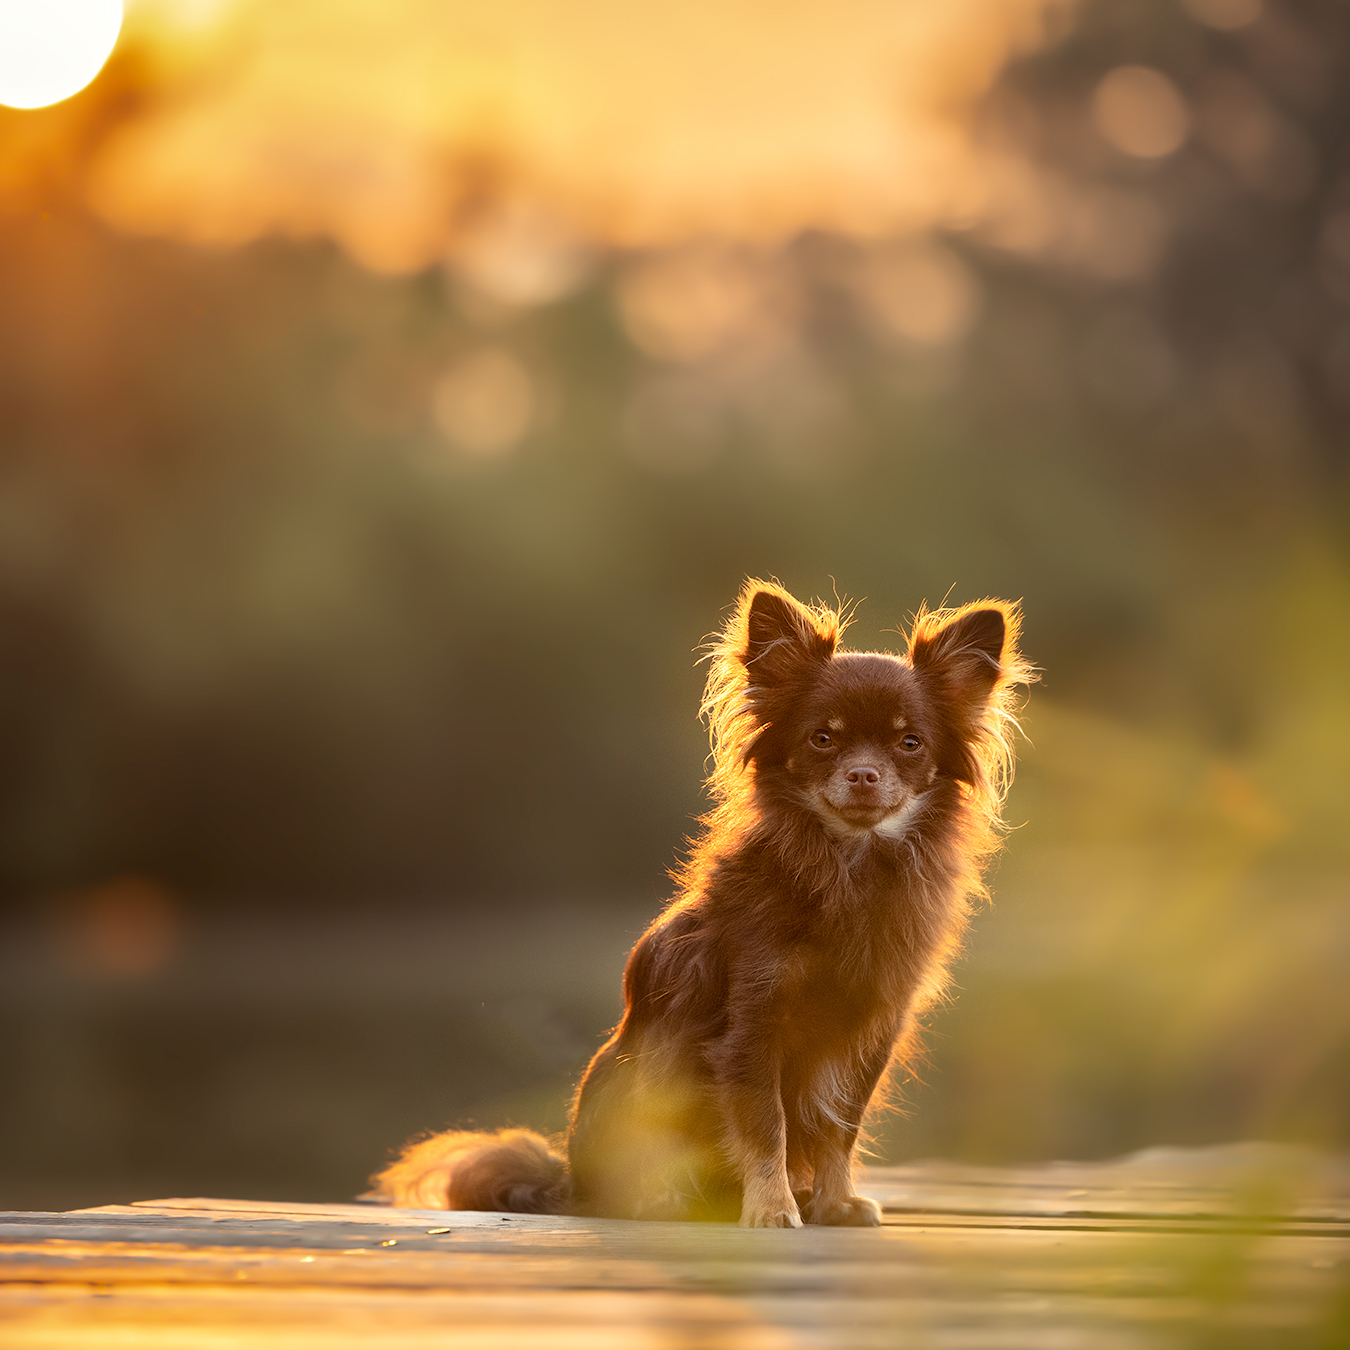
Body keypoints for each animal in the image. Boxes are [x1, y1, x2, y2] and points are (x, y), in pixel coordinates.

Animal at [369, 577, 1020, 1225]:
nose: (863, 775)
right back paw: (668, 1201)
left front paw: (834, 1202)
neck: (849, 865)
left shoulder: (870, 1034)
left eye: (909, 743)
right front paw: (772, 1207)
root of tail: (570, 1187)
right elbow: (767, 1124)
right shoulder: (751, 1030)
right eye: (822, 740)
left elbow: (839, 1129)